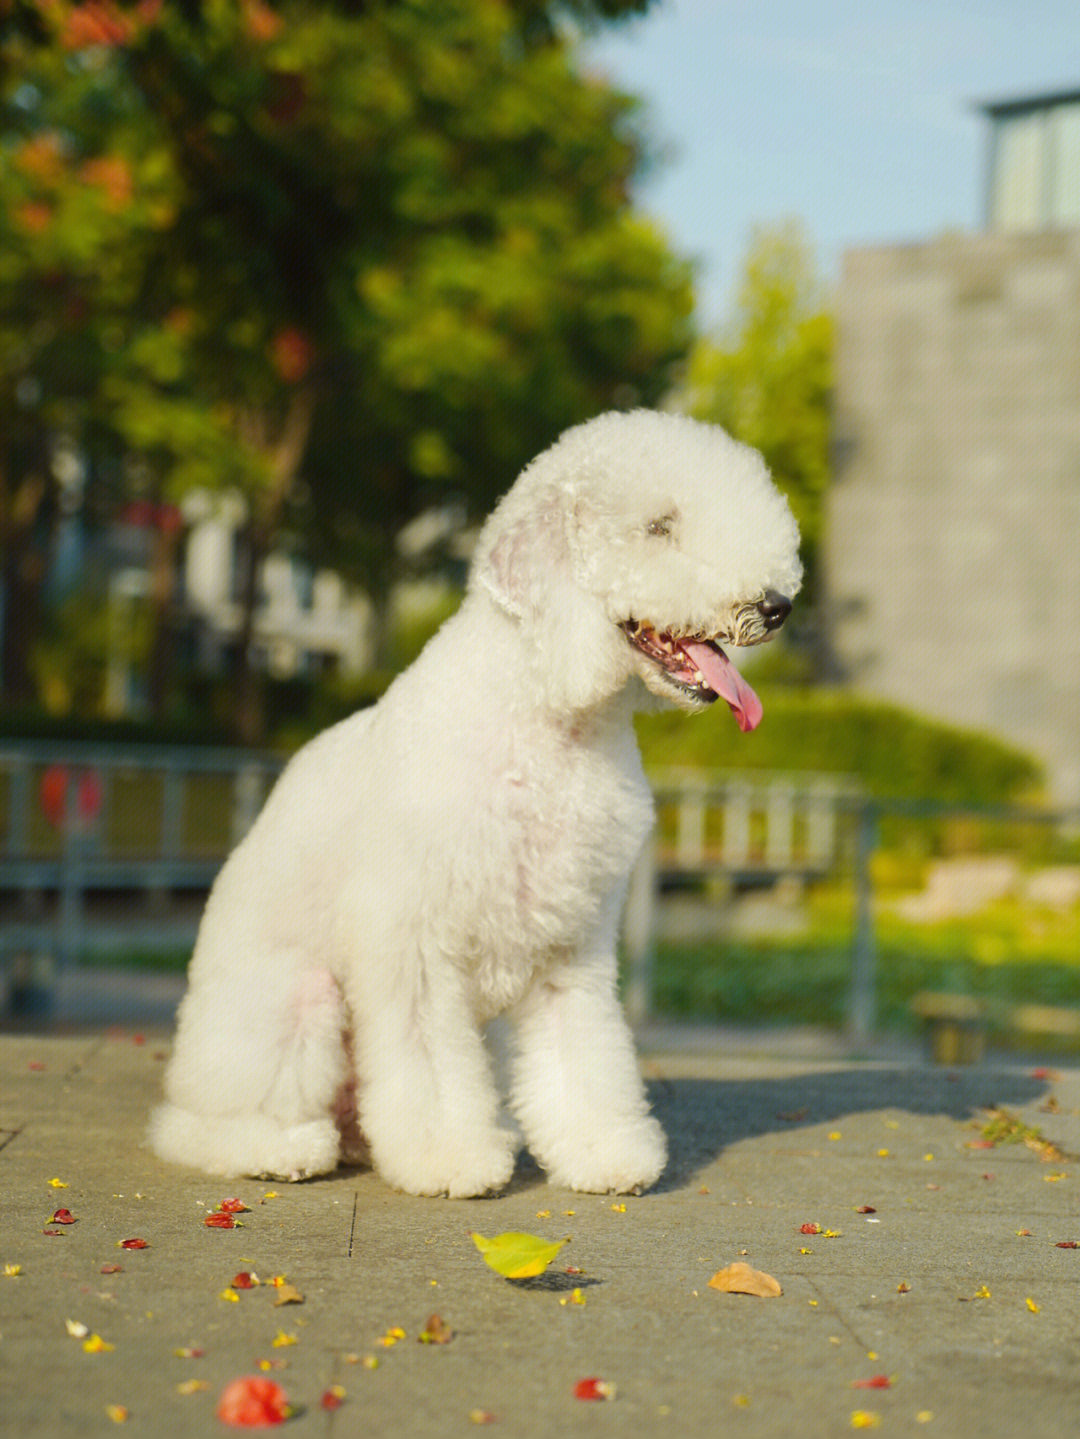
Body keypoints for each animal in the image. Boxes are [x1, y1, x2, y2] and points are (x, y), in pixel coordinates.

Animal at [156, 411, 805, 1197]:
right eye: (658, 526)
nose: (776, 605)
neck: (545, 717)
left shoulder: (572, 942)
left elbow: (583, 1054)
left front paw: (604, 1152)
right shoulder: (415, 942)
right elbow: (431, 1066)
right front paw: (451, 1159)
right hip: (294, 1005)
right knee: (198, 1125)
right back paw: (279, 1148)